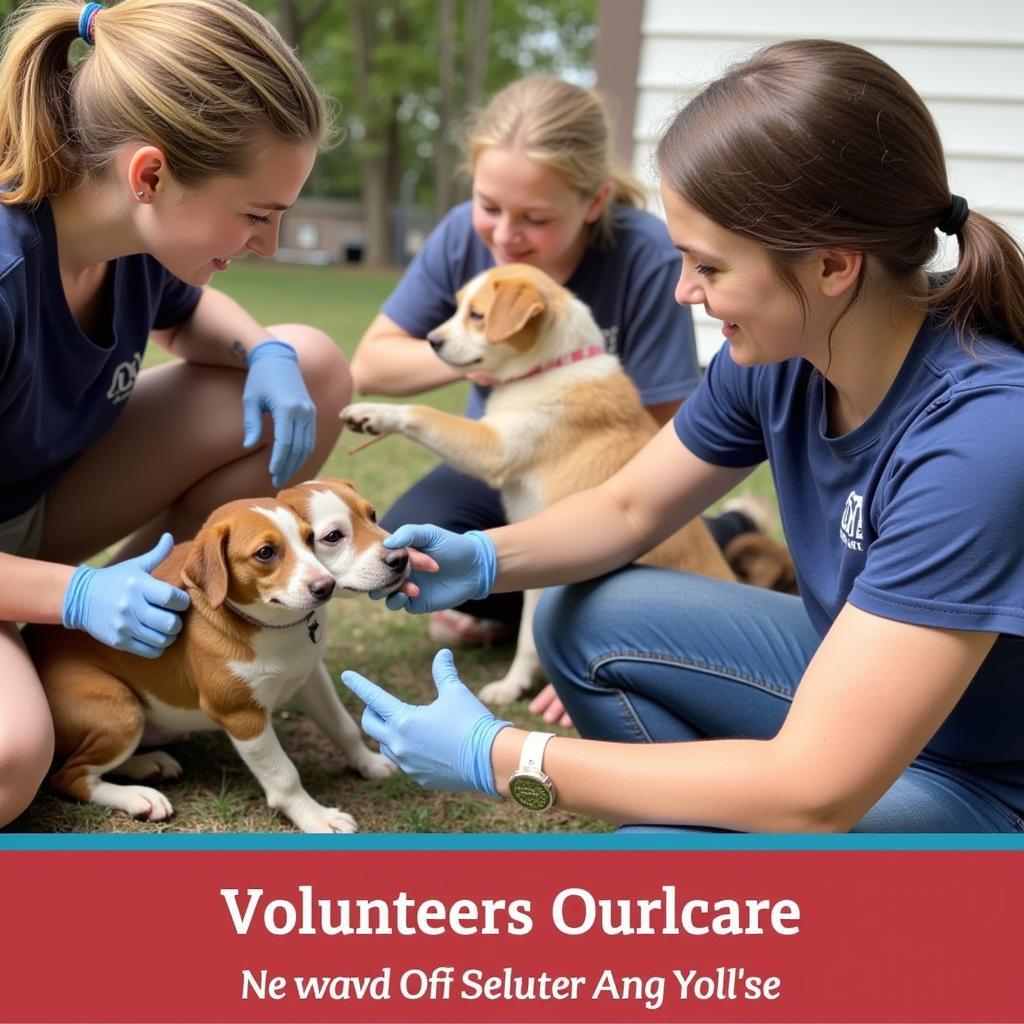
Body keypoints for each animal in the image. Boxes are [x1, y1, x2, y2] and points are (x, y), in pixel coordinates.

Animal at [29, 493, 403, 831]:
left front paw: (368, 763)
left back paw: (149, 764)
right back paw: (138, 796)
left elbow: (342, 726)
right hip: (120, 709)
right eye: (265, 553)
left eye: (311, 538)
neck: (273, 627)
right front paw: (316, 818)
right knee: (70, 776)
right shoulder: (241, 715)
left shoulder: (310, 676)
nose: (325, 586)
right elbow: (284, 775)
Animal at [342, 264, 737, 708]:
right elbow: (528, 639)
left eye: (477, 315)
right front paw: (513, 685)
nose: (432, 341)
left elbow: (422, 412)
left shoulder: (494, 448)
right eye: (457, 306)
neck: (552, 366)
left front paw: (373, 413)